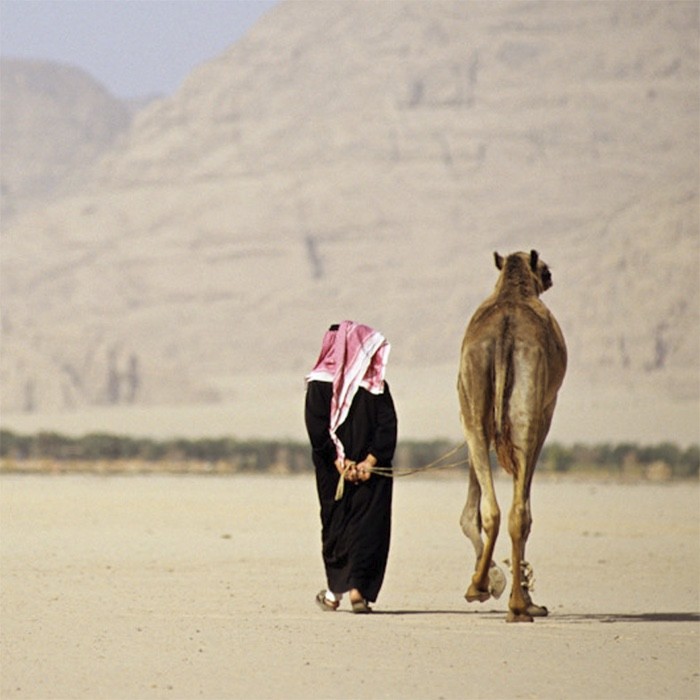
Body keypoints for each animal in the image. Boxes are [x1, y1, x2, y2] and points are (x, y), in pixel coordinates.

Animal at [456, 252, 568, 624]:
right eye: (545, 269)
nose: (550, 277)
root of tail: (505, 334)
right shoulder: (547, 409)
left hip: (475, 392)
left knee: (492, 508)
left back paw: (482, 587)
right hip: (528, 405)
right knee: (520, 511)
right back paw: (518, 604)